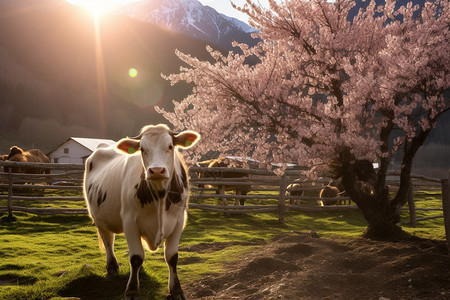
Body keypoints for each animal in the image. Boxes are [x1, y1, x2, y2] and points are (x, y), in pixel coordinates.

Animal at [82, 123, 199, 298]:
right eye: (142, 149)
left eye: (170, 146)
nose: (156, 170)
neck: (160, 198)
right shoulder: (129, 221)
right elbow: (136, 257)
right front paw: (132, 291)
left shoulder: (179, 221)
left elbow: (172, 257)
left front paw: (176, 290)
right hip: (98, 218)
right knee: (108, 241)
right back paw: (112, 267)